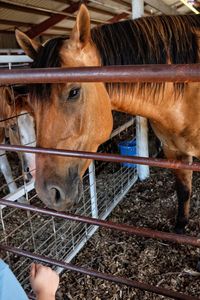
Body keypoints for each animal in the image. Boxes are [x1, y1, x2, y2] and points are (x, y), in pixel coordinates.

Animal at [16, 5, 200, 234]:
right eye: (31, 103)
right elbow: (183, 191)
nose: (48, 193)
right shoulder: (175, 152)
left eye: (74, 92)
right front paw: (179, 228)